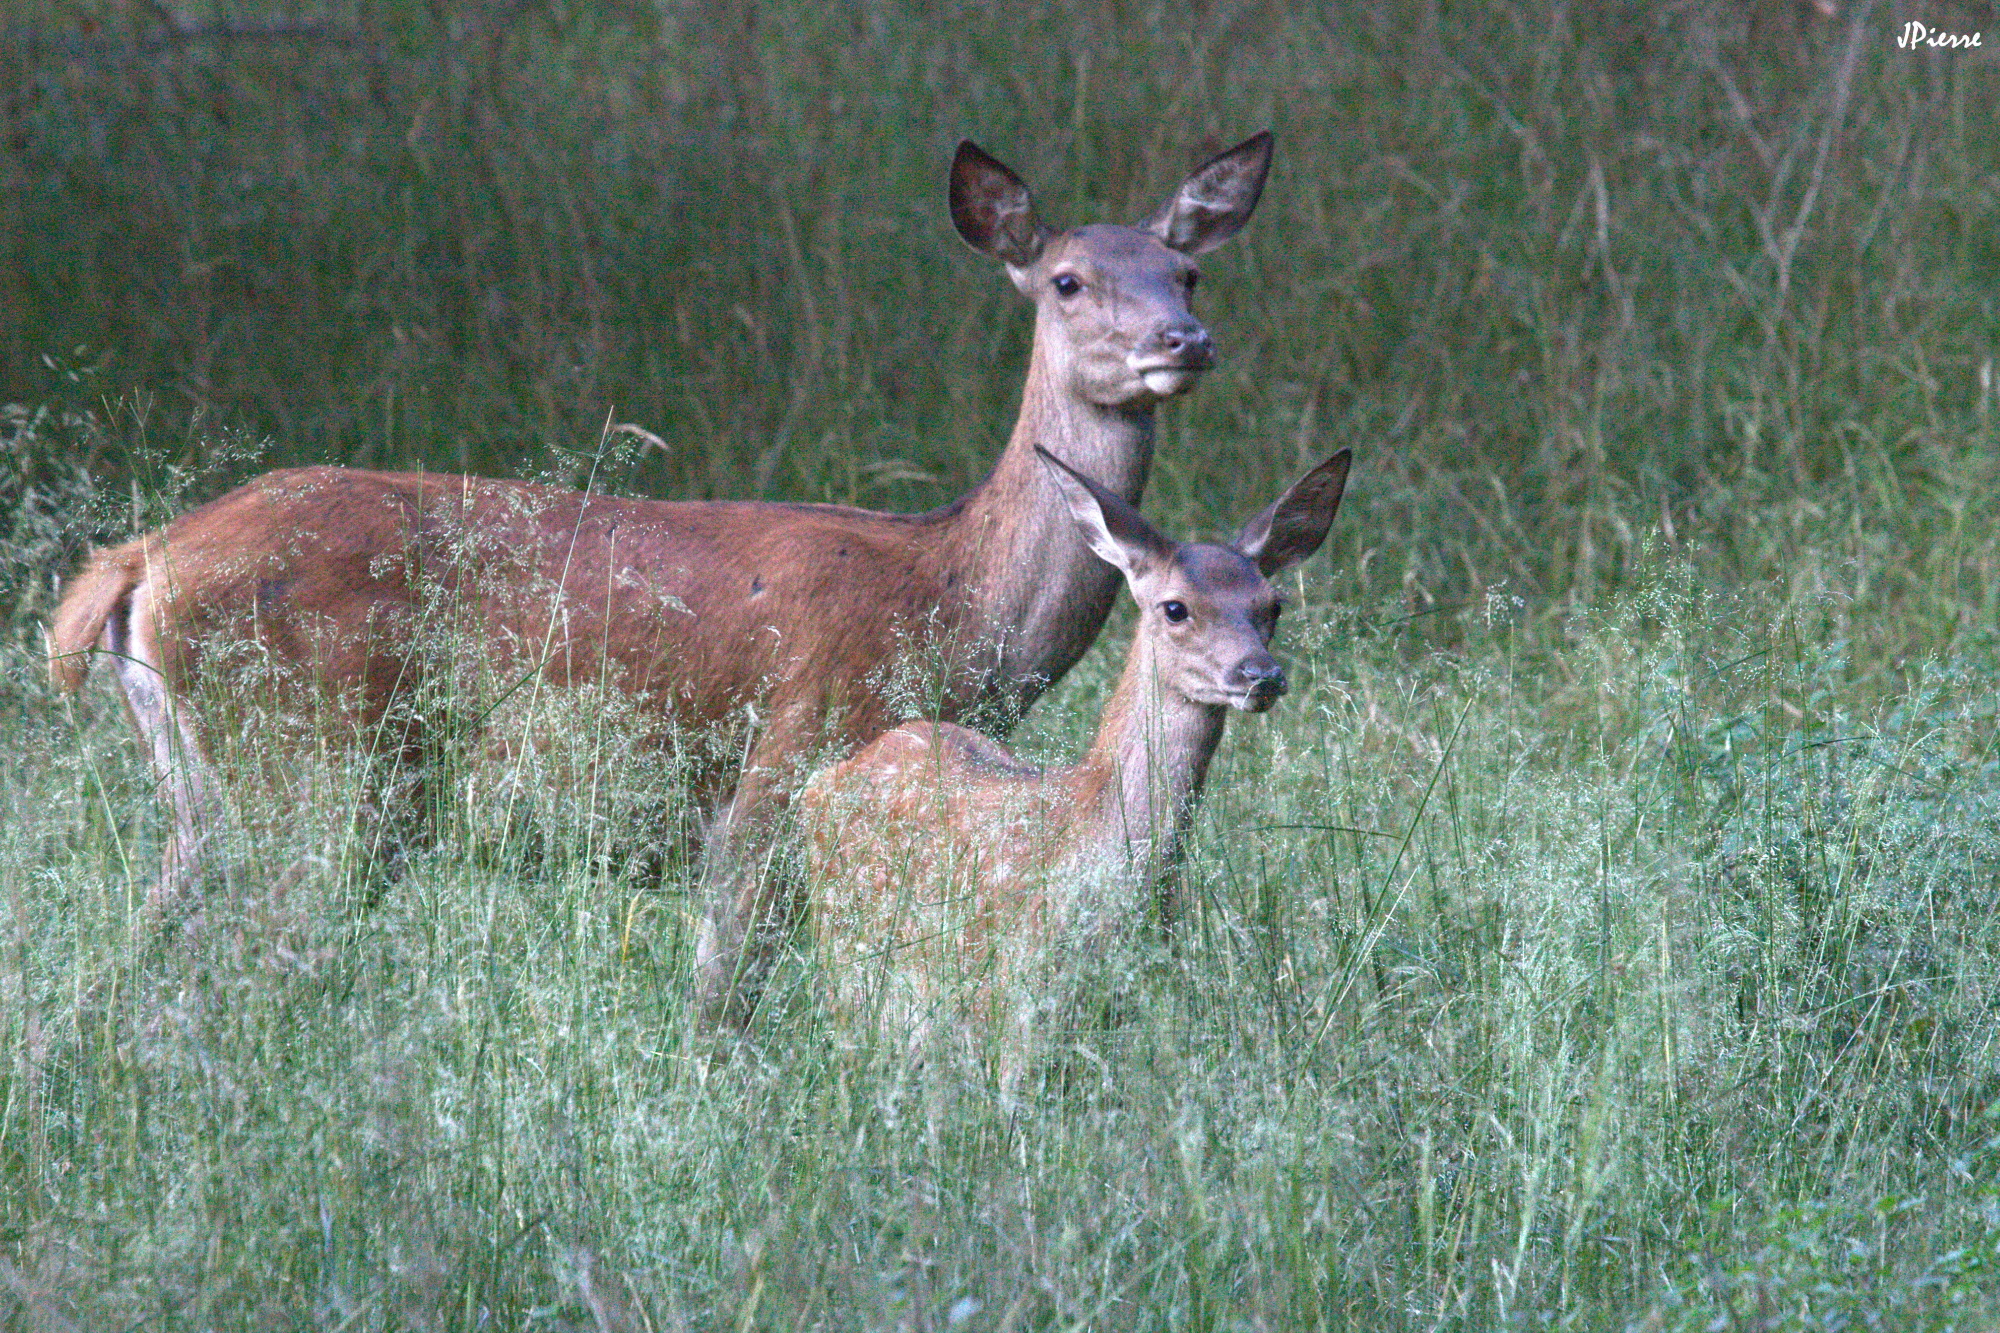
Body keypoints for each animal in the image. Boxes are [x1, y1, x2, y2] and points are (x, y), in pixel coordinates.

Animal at [39, 132, 1272, 1016]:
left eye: (1187, 270)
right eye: (1065, 279)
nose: (1182, 340)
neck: (951, 593)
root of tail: (139, 563)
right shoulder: (781, 766)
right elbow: (721, 1004)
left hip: (211, 795)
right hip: (315, 768)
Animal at [804, 440, 1352, 1088]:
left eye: (1273, 605)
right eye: (1175, 608)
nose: (1260, 675)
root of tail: (823, 782)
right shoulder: (1017, 999)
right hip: (851, 964)